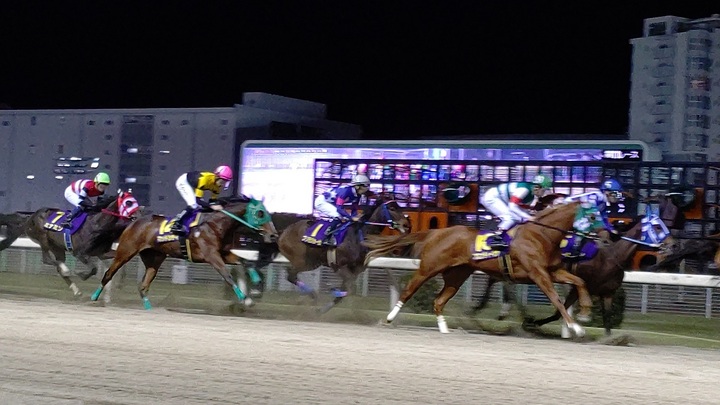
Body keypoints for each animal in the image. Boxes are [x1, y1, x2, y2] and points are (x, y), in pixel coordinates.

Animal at [89, 197, 279, 309]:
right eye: (260, 213)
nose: (273, 235)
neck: (215, 224)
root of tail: (134, 221)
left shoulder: (224, 253)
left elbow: (243, 261)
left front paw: (255, 282)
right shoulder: (211, 256)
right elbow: (226, 274)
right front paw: (244, 298)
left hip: (154, 259)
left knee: (143, 285)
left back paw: (149, 307)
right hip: (125, 252)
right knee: (108, 274)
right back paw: (94, 296)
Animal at [276, 196, 411, 313]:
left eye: (399, 206)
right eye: (392, 208)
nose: (407, 224)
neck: (359, 236)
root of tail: (284, 231)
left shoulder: (355, 270)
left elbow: (347, 290)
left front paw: (322, 310)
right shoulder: (340, 266)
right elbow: (351, 289)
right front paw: (332, 291)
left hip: (313, 262)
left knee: (292, 274)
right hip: (302, 260)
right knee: (291, 275)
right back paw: (312, 295)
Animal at [363, 201, 607, 337]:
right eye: (593, 216)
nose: (607, 236)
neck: (541, 235)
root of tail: (435, 232)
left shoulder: (553, 271)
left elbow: (579, 281)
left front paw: (585, 313)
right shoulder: (538, 274)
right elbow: (556, 298)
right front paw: (576, 328)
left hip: (458, 275)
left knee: (439, 301)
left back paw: (444, 328)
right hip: (429, 268)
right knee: (408, 290)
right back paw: (389, 318)